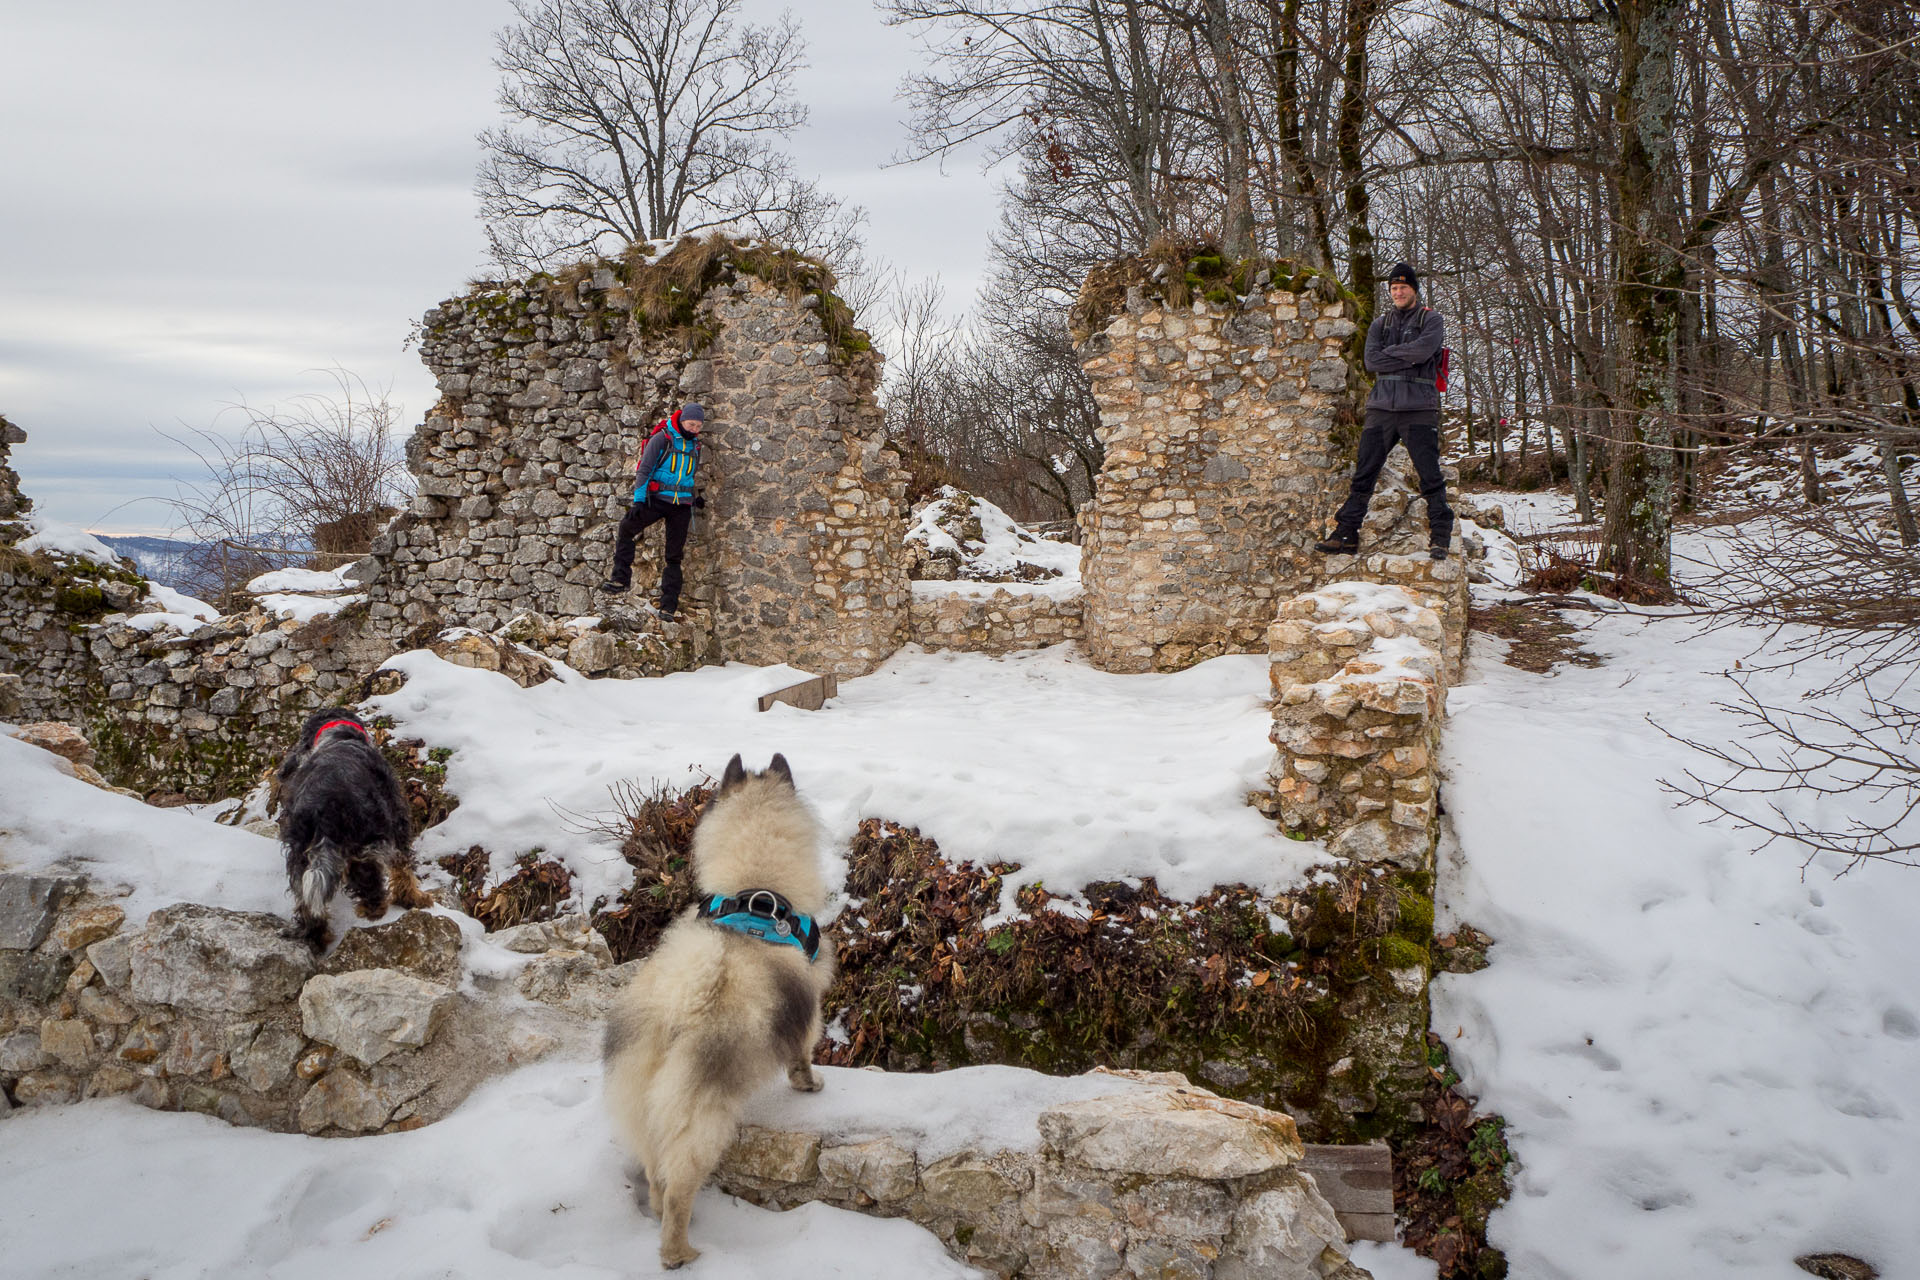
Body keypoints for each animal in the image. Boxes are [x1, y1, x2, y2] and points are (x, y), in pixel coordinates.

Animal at [274, 710, 432, 951]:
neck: (338, 736)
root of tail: (324, 808)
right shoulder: (397, 818)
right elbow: (403, 867)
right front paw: (413, 898)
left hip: (300, 855)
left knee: (306, 900)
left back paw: (316, 936)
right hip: (367, 839)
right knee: (371, 882)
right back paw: (375, 910)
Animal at [602, 756, 837, 1266]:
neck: (757, 890)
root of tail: (678, 1003)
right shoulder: (807, 1011)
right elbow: (802, 1057)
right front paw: (810, 1085)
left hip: (643, 1100)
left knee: (654, 1171)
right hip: (703, 1117)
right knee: (678, 1189)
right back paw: (680, 1253)